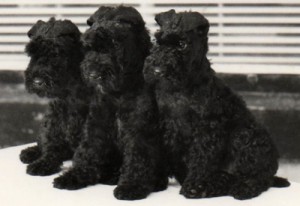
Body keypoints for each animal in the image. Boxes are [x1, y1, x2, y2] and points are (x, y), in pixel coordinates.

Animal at [19, 17, 91, 176]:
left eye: (56, 54)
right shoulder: (55, 117)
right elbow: (51, 142)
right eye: (31, 53)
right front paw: (44, 162)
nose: (37, 82)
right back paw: (30, 152)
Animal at [54, 6, 169, 200]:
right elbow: (88, 150)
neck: (119, 91)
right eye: (89, 47)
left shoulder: (138, 130)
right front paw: (74, 176)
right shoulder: (97, 124)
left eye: (114, 45)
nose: (93, 73)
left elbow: (137, 157)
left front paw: (131, 186)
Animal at [144, 9, 290, 200]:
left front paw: (194, 184)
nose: (157, 70)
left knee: (258, 177)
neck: (180, 87)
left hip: (245, 135)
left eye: (182, 44)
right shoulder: (163, 127)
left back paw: (240, 189)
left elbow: (201, 160)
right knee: (227, 178)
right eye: (157, 40)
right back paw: (209, 188)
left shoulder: (208, 129)